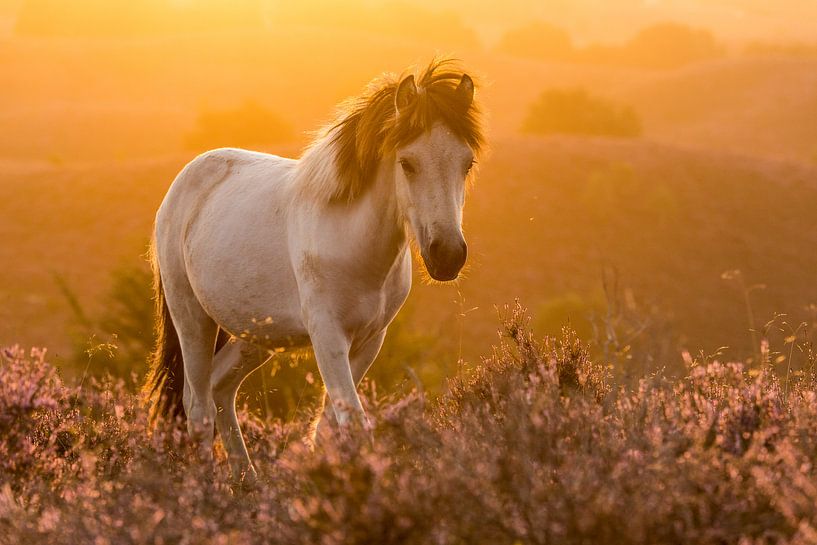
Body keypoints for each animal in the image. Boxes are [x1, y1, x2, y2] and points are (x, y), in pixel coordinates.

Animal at [143, 58, 485, 485]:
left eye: (467, 163)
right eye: (407, 163)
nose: (448, 256)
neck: (352, 242)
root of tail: (183, 183)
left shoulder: (369, 340)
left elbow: (330, 427)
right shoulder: (328, 335)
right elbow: (353, 423)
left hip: (257, 334)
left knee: (219, 388)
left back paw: (247, 482)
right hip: (191, 317)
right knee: (198, 407)